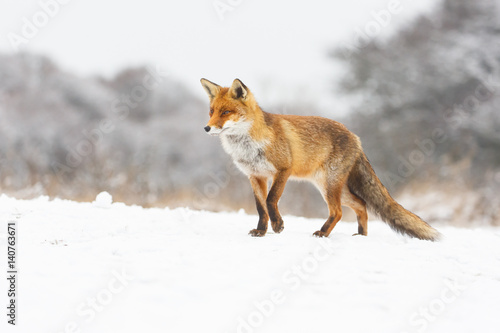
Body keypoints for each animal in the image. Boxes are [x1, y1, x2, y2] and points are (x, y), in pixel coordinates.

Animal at [201, 78, 440, 239]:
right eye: (212, 111)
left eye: (226, 112)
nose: (206, 128)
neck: (249, 145)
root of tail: (355, 137)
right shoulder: (255, 176)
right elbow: (261, 208)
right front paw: (261, 231)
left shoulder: (283, 170)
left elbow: (271, 200)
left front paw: (278, 225)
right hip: (330, 187)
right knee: (361, 204)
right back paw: (361, 235)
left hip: (329, 186)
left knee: (339, 211)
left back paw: (323, 233)